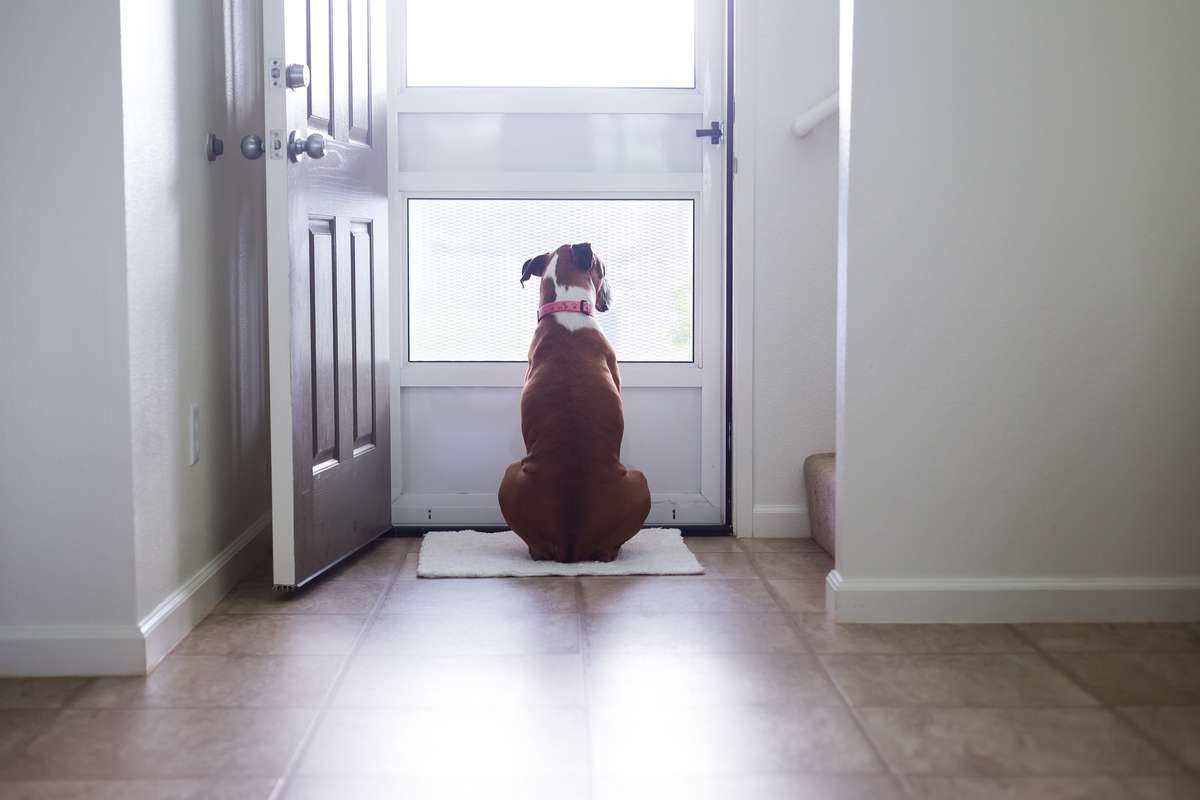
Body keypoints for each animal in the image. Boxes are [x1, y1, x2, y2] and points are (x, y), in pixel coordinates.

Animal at [494, 244, 652, 563]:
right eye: (604, 270)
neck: (565, 307)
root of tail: (571, 543)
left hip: (509, 478)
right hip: (640, 480)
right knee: (607, 549)